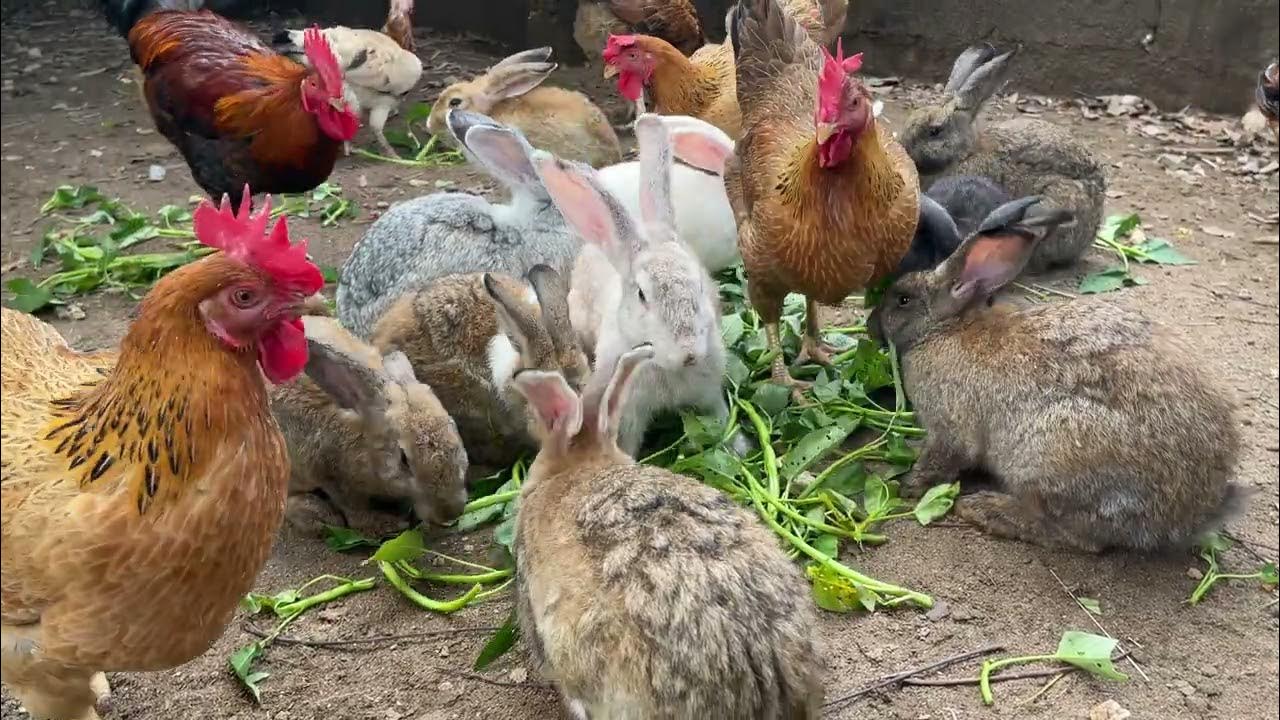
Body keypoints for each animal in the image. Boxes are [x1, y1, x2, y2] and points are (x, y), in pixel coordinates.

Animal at [270, 316, 470, 536]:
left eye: (454, 431)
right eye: (403, 459)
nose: (450, 512)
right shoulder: (331, 473)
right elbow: (355, 512)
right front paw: (386, 524)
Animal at [867, 197, 1244, 554]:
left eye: (902, 300)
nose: (871, 326)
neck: (947, 328)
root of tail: (1189, 516)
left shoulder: (950, 426)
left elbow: (943, 458)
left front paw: (909, 485)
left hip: (1050, 457)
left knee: (1076, 536)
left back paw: (987, 510)